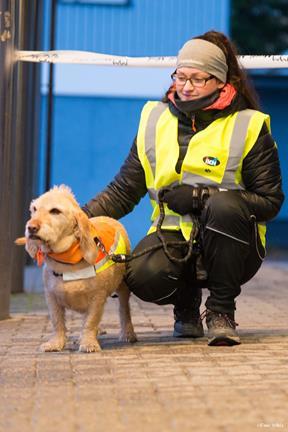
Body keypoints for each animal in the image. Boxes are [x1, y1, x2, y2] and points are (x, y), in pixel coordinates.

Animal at [22, 185, 137, 352]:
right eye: (34, 209)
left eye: (55, 211)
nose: (31, 227)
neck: (67, 263)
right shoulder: (51, 297)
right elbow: (57, 322)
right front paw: (56, 342)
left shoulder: (97, 298)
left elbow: (91, 321)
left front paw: (88, 342)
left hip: (123, 287)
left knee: (124, 309)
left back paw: (128, 332)